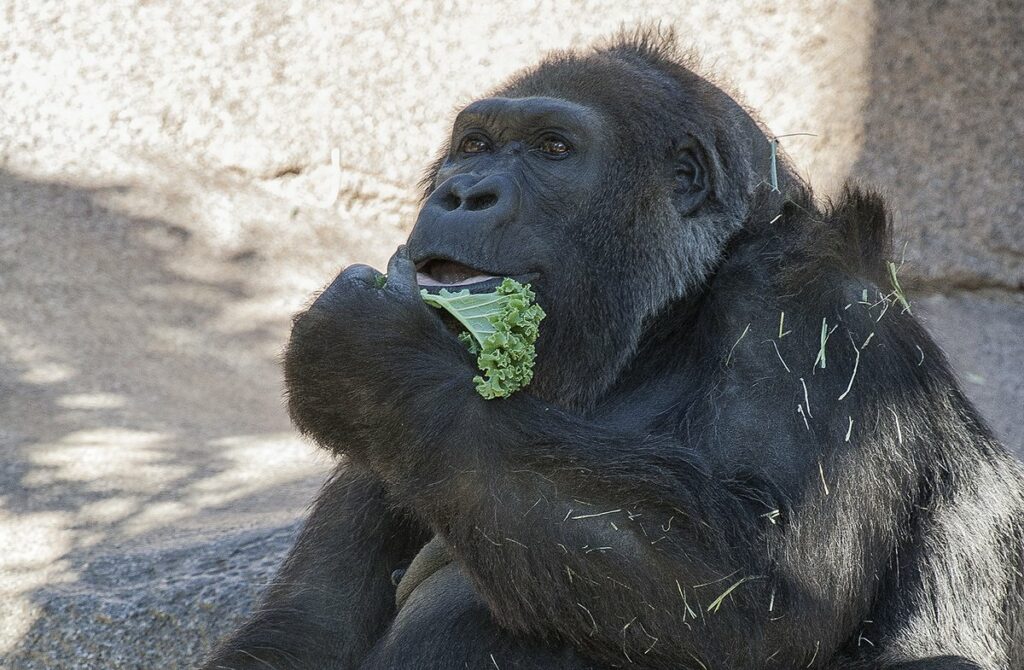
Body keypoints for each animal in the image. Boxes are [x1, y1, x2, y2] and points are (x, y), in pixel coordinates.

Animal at [201, 32, 1024, 670]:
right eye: (475, 146)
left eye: (553, 149)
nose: (464, 192)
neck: (655, 333)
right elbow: (307, 631)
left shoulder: (821, 306)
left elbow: (764, 594)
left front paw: (375, 364)